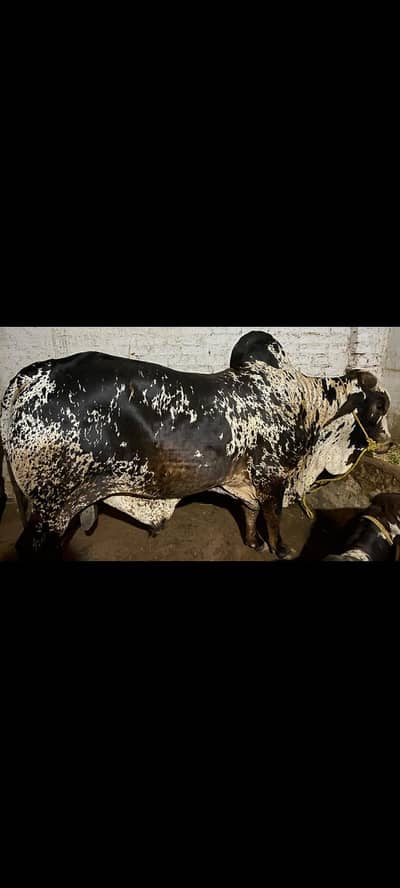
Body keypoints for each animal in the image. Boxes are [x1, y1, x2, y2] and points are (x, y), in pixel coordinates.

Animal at [0, 331, 393, 560]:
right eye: (379, 408)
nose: (388, 442)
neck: (302, 401)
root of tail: (41, 370)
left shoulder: (245, 482)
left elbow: (250, 513)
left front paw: (253, 542)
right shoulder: (273, 476)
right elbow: (273, 516)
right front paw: (280, 549)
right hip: (52, 507)